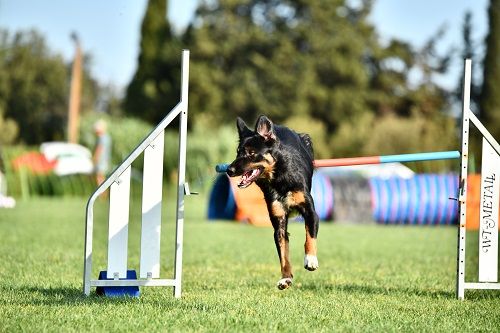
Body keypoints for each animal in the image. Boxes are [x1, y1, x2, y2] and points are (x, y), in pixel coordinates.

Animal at [228, 115, 320, 290]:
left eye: (251, 153)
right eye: (238, 152)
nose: (229, 170)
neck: (278, 179)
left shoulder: (310, 211)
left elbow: (309, 237)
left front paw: (310, 259)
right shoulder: (279, 222)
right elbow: (283, 254)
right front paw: (286, 279)